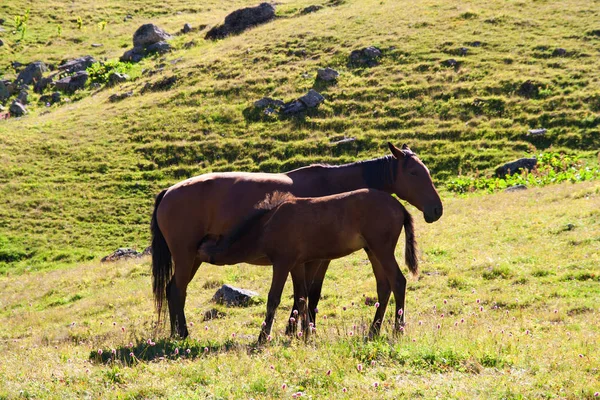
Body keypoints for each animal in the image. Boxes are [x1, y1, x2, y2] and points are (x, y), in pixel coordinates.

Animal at [198, 189, 418, 342]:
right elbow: (302, 297)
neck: (268, 225)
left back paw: (398, 329)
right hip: (372, 251)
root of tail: (400, 207)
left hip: (382, 249)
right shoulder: (297, 264)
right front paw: (305, 333)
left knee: (398, 282)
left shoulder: (282, 262)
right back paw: (374, 330)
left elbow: (274, 299)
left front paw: (263, 336)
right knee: (384, 287)